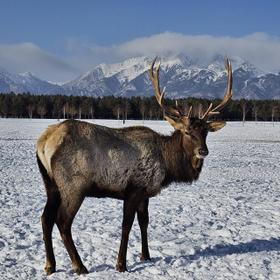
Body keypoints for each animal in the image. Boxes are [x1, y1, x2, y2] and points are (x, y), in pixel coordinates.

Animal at [37, 57, 234, 276]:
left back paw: (50, 265)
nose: (203, 151)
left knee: (45, 218)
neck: (167, 165)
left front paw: (145, 256)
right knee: (62, 221)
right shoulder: (134, 188)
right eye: (187, 132)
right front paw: (121, 264)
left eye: (205, 132)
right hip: (74, 185)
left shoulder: (145, 193)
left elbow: (144, 222)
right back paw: (79, 266)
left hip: (51, 184)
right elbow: (126, 225)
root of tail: (44, 141)